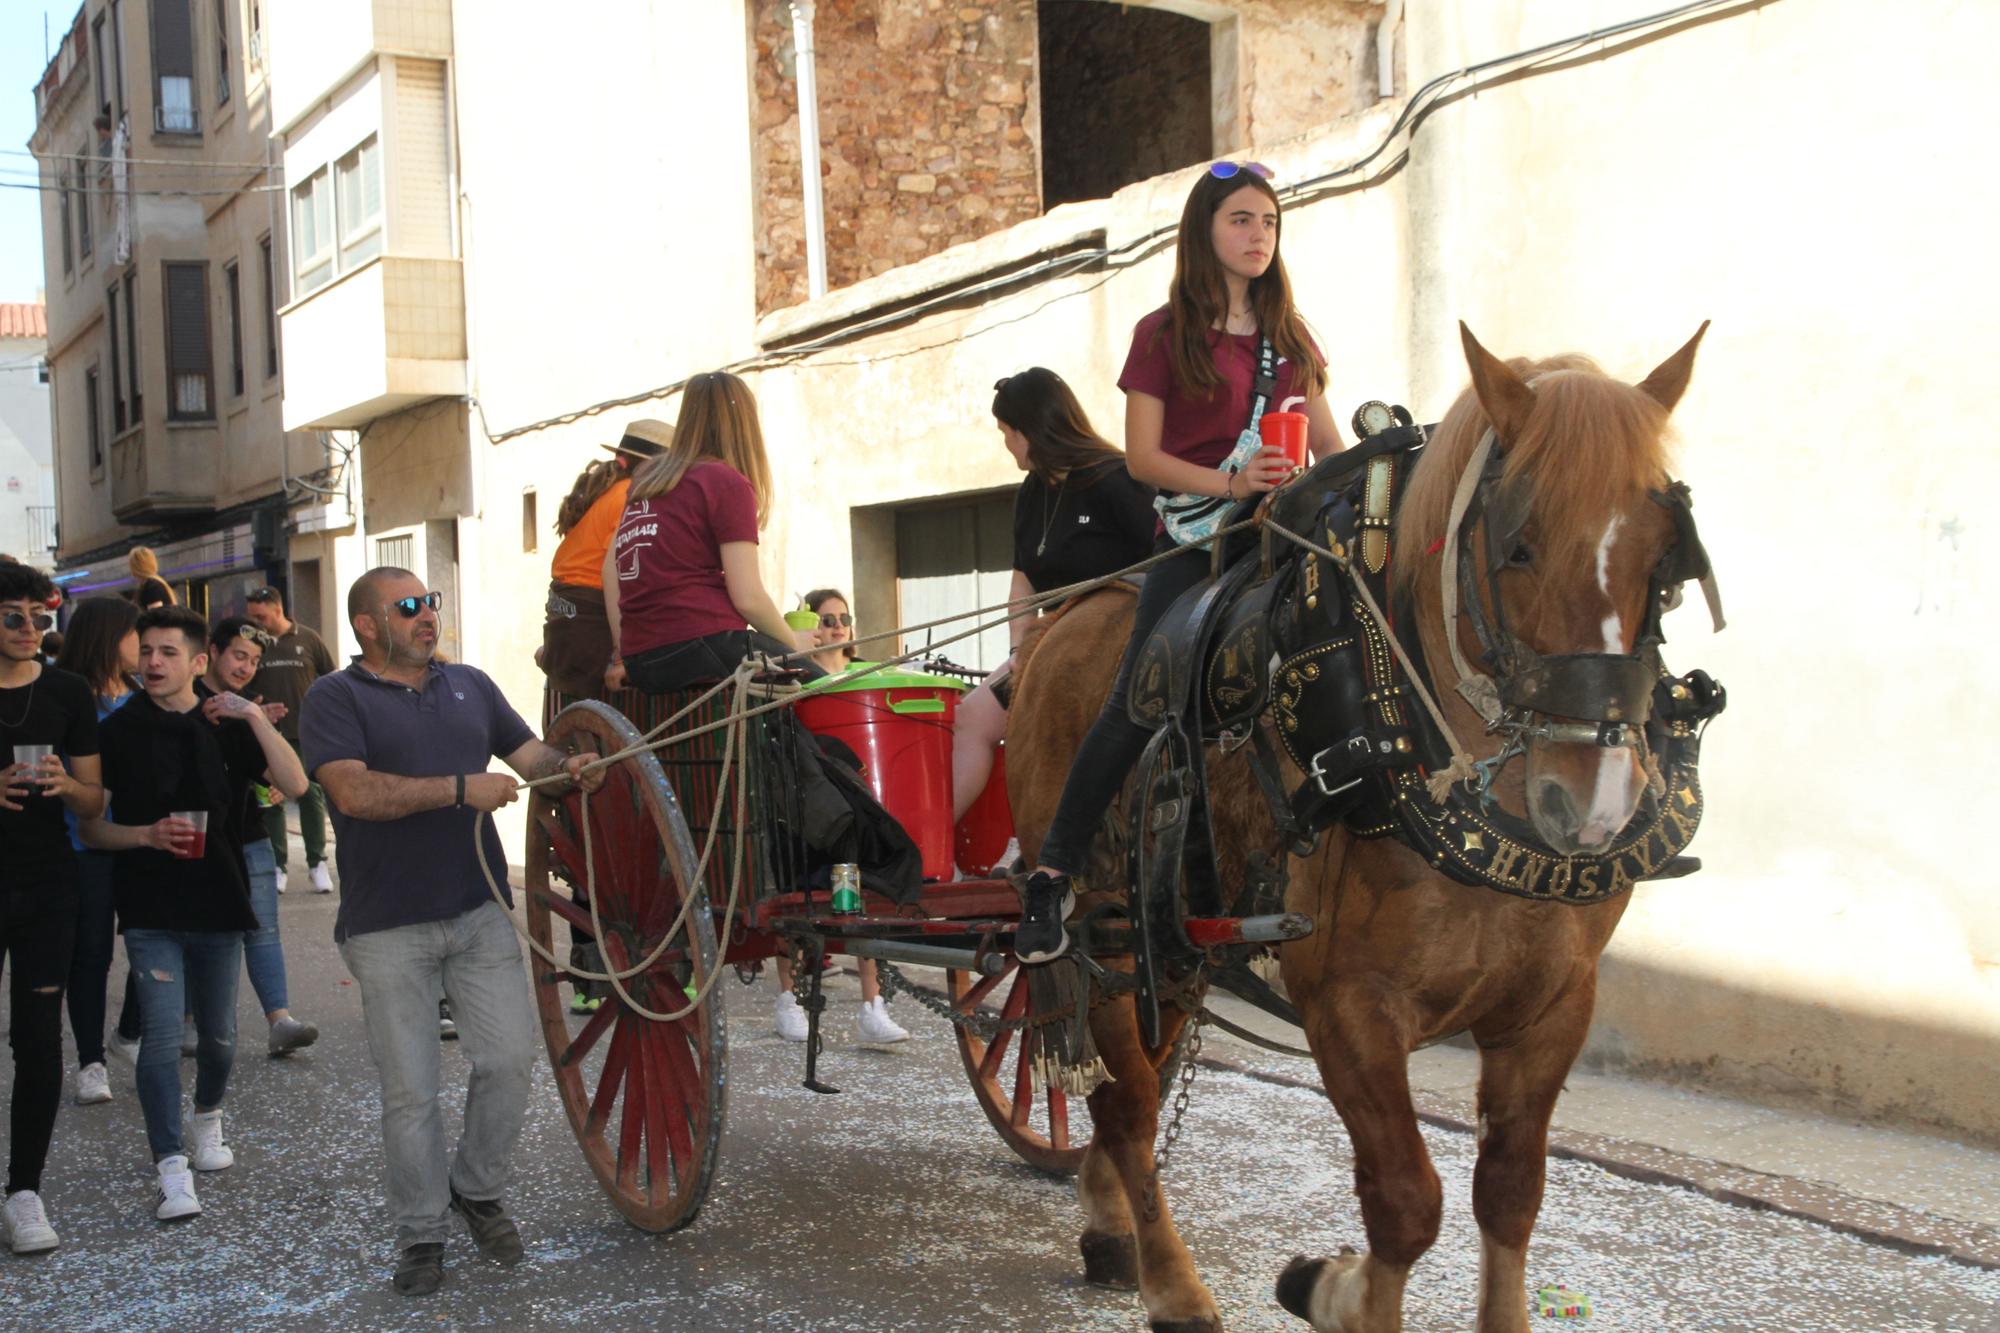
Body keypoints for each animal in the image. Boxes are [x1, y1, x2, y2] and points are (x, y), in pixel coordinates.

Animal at [1008, 324, 1712, 1328]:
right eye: (1519, 548)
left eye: (1666, 562)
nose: (1595, 805)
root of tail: (1062, 621)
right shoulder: (1349, 1004)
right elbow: (1406, 1202)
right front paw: (1333, 1287)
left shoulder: (1553, 1004)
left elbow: (1511, 1192)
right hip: (1104, 930)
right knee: (1129, 1105)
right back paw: (1171, 1280)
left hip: (1172, 944)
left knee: (1133, 1081)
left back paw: (1108, 1225)